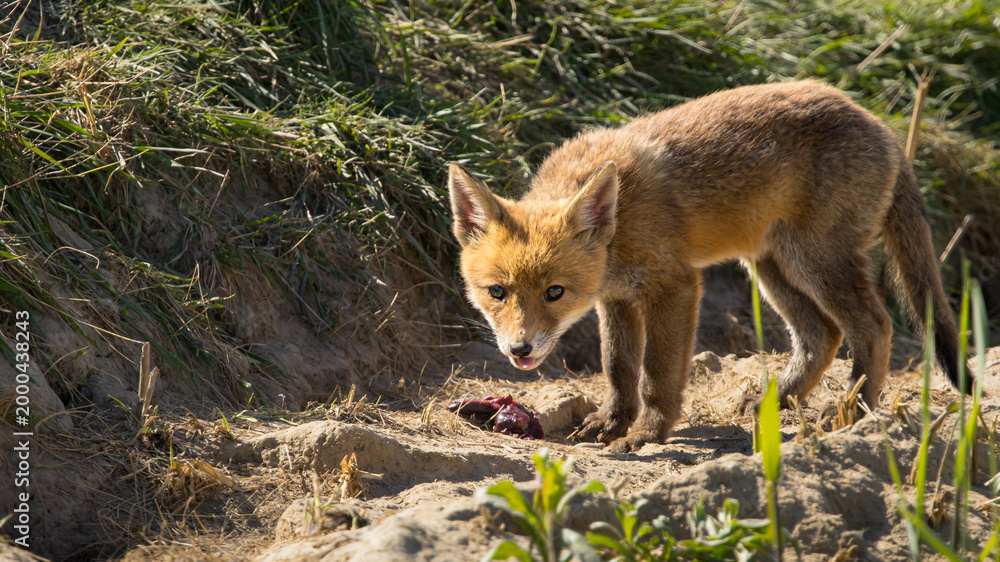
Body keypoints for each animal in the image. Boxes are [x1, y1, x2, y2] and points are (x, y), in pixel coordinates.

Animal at [447, 80, 967, 453]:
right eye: (497, 292)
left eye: (554, 292)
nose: (519, 349)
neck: (620, 221)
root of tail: (881, 126)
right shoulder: (617, 298)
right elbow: (618, 367)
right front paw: (612, 422)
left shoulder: (675, 285)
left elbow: (656, 373)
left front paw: (647, 433)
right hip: (771, 268)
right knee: (823, 336)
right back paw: (778, 402)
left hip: (816, 261)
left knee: (874, 328)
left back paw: (852, 413)